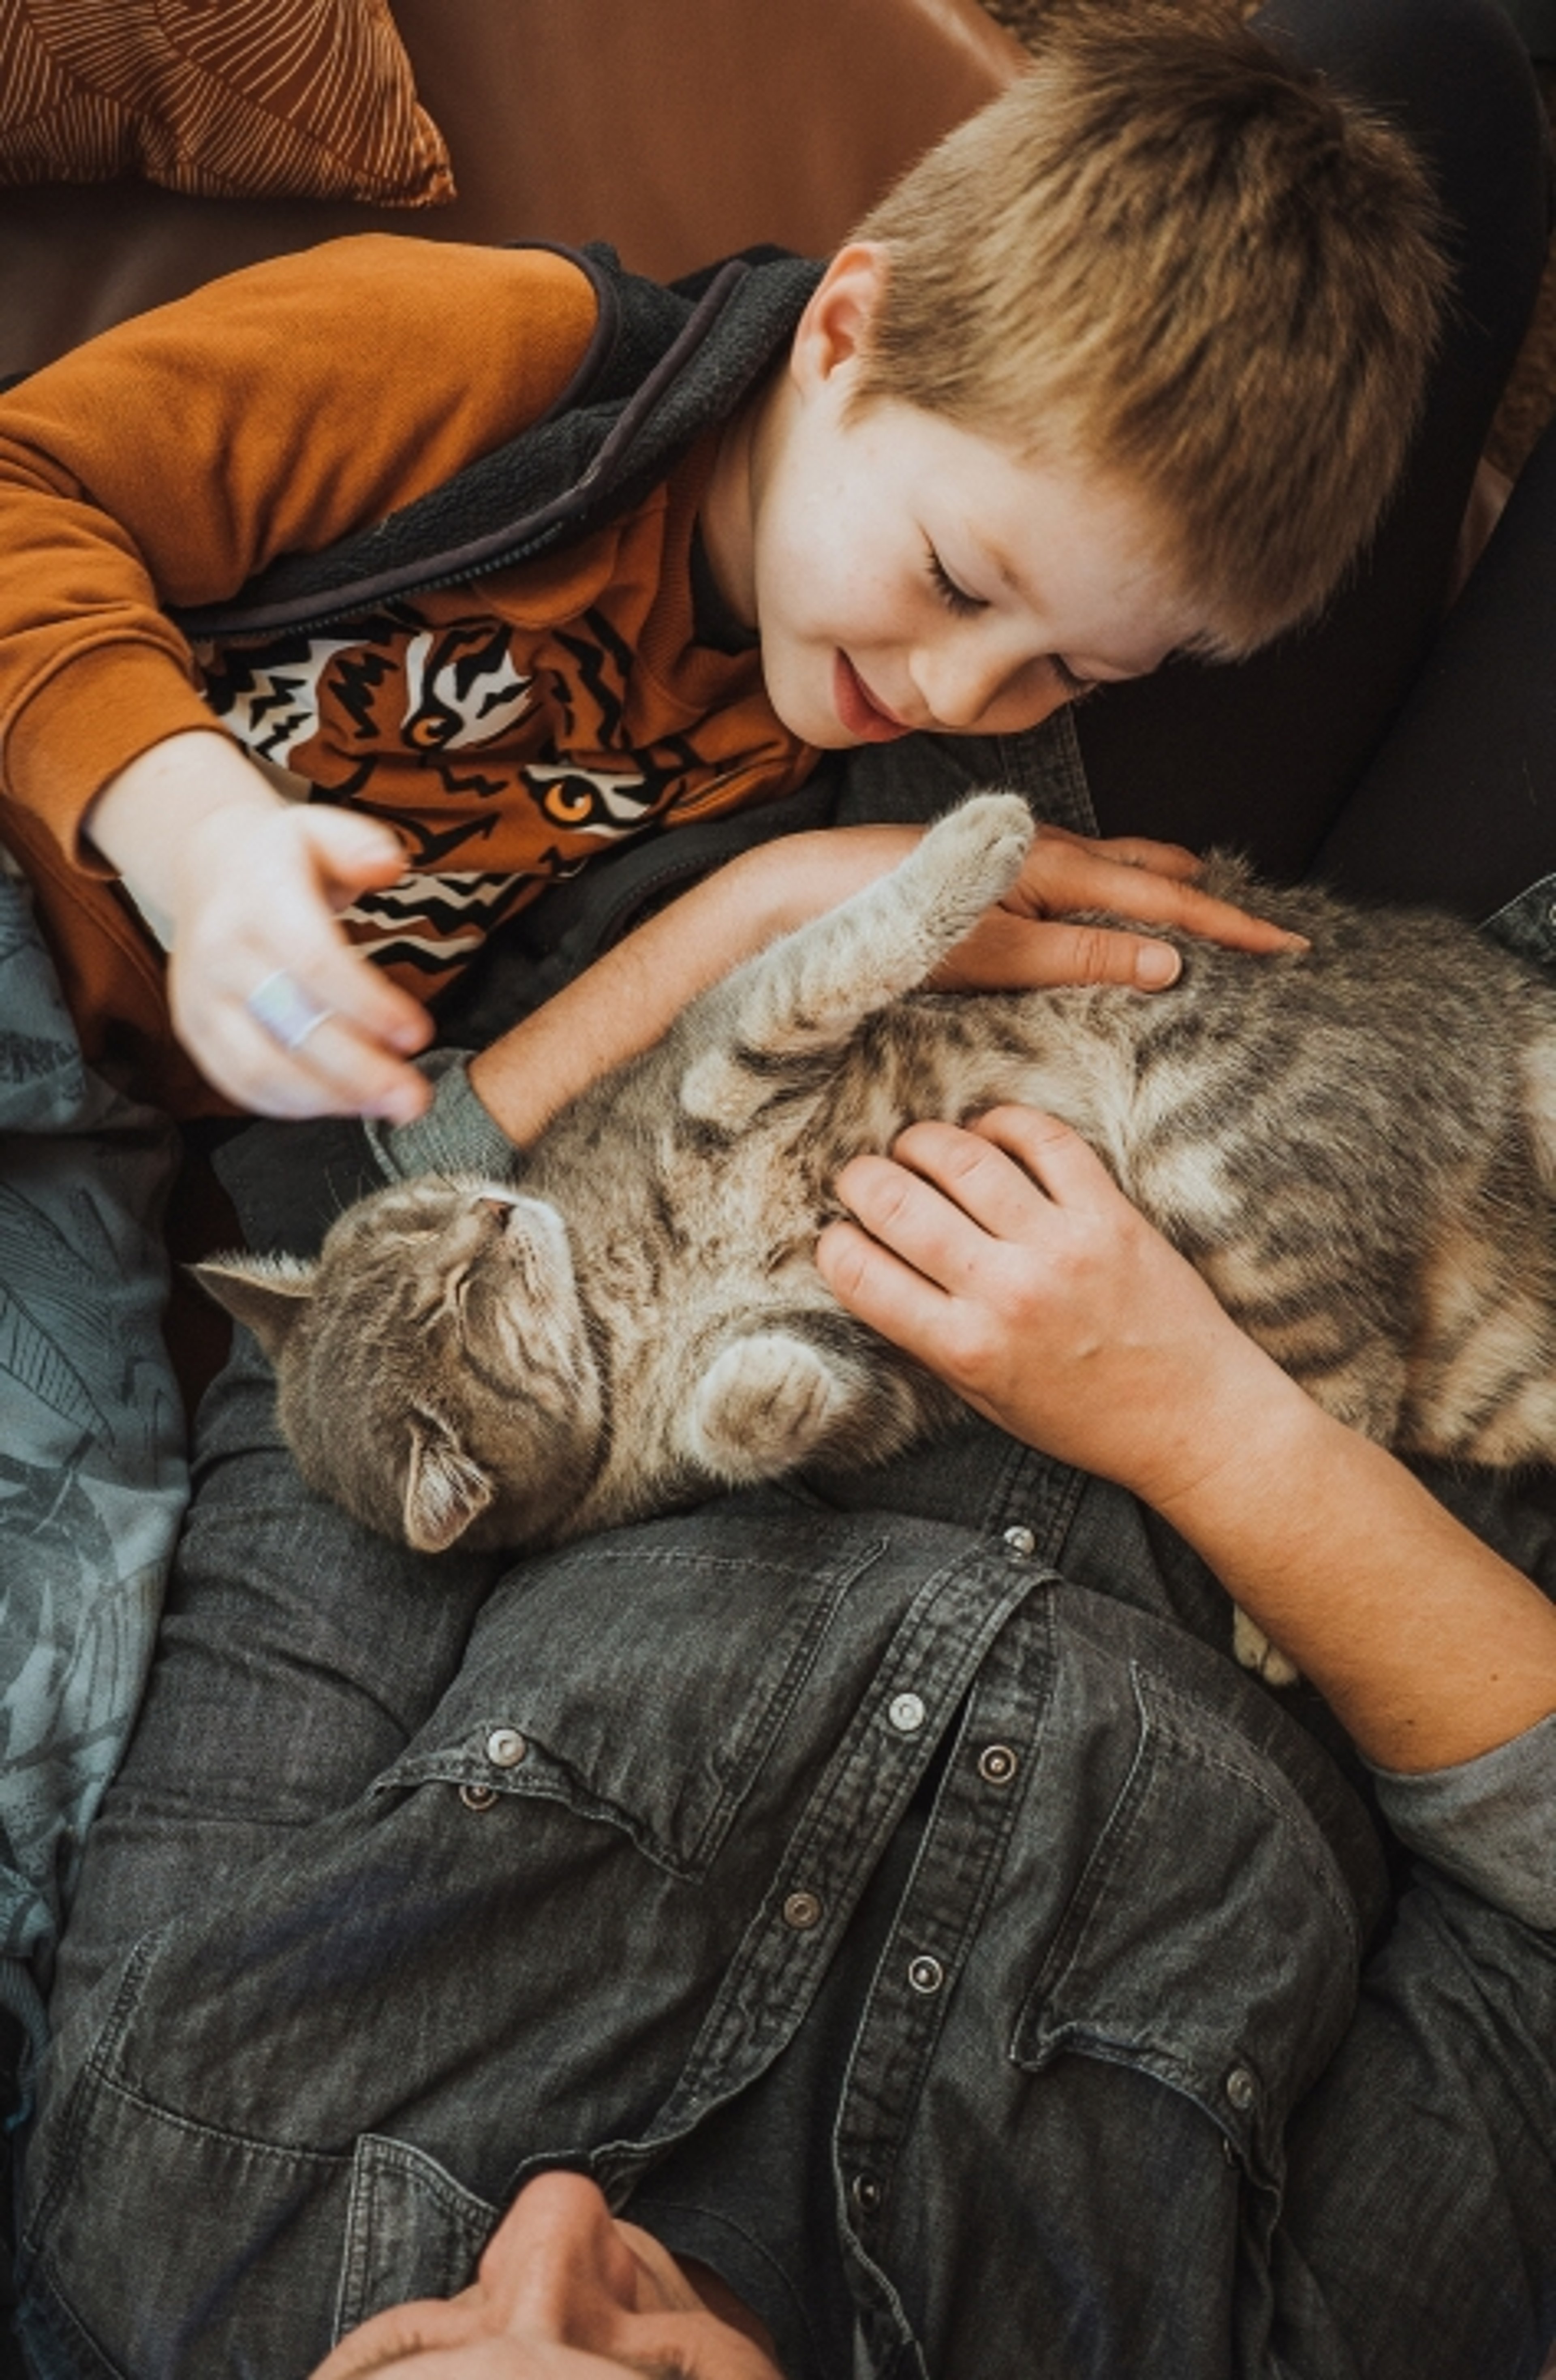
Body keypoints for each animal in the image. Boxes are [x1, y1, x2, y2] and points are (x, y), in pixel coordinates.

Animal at [199, 790, 1556, 1628]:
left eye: (426, 1228)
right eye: (463, 1297)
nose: (491, 1213)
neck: (626, 1311)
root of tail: (1486, 1002)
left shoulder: (729, 1050)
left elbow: (842, 948)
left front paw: (980, 834)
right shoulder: (875, 1363)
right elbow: (765, 1421)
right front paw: (750, 1397)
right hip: (1349, 1276)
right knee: (1361, 1381)